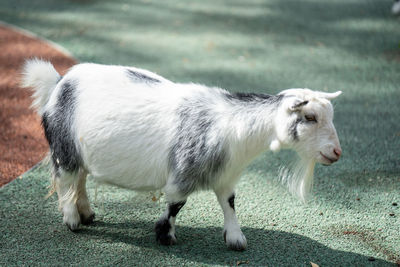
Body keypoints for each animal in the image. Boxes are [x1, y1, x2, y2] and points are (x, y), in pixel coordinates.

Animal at [21, 59, 340, 251]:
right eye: (310, 117)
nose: (336, 152)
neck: (231, 125)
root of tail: (58, 82)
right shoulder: (183, 174)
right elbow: (176, 204)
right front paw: (165, 235)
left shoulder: (226, 175)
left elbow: (229, 203)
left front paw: (236, 239)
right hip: (64, 148)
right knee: (66, 180)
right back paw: (72, 219)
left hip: (81, 152)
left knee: (81, 180)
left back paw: (86, 213)